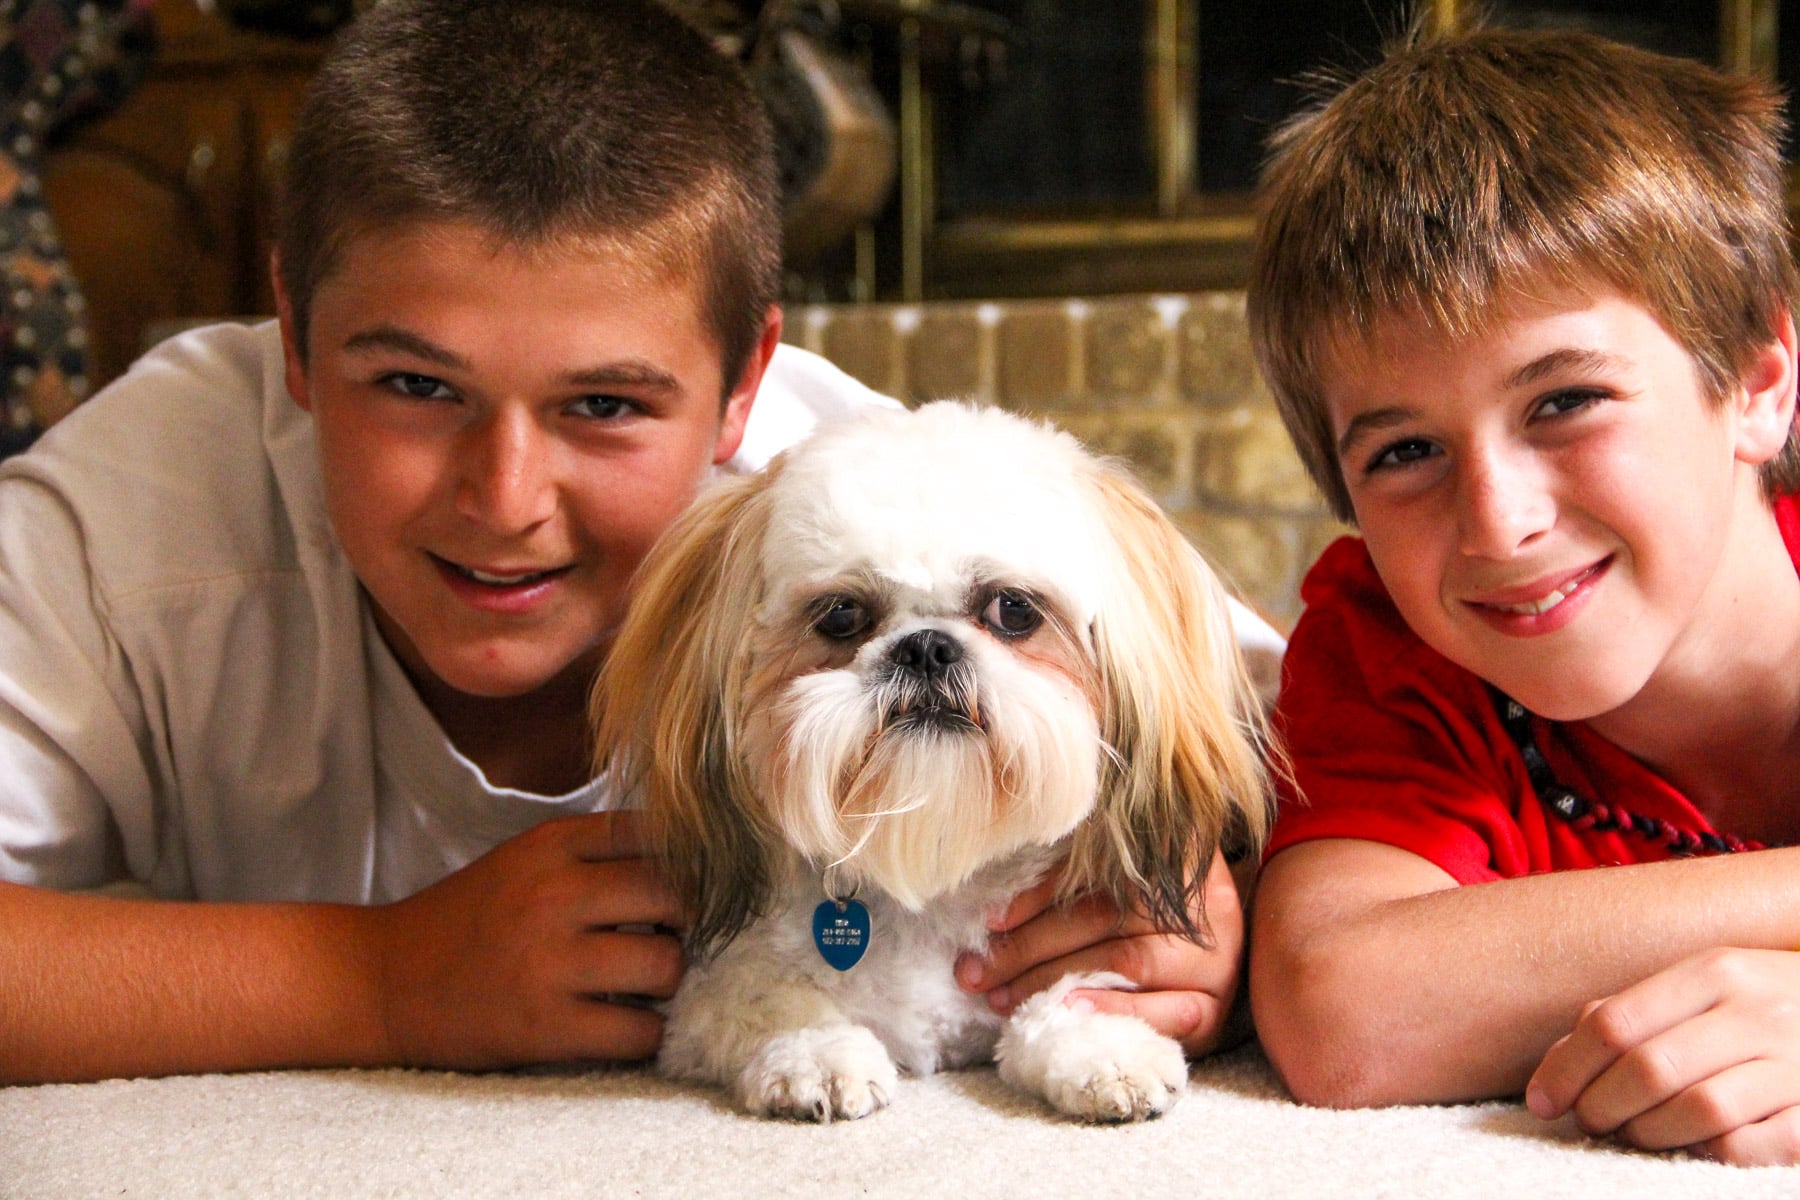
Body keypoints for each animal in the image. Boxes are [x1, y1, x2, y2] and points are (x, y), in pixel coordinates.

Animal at [597, 402, 1274, 1129]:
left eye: (1013, 608)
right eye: (841, 615)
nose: (925, 648)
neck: (931, 872)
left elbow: (1072, 988)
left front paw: (1103, 1049)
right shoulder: (703, 998)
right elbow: (768, 1000)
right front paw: (816, 1053)